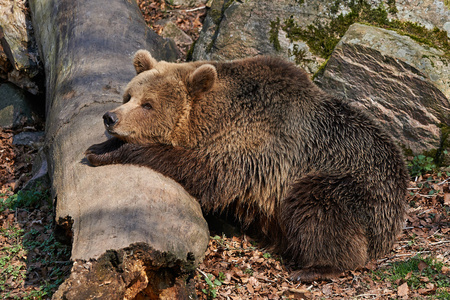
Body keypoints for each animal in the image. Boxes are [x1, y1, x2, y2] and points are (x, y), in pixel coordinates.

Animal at [86, 49, 410, 282]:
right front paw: (100, 146)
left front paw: (104, 151)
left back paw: (314, 268)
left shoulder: (257, 148)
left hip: (352, 183)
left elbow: (206, 173)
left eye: (148, 105)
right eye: (129, 95)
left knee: (317, 207)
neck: (213, 120)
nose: (111, 117)